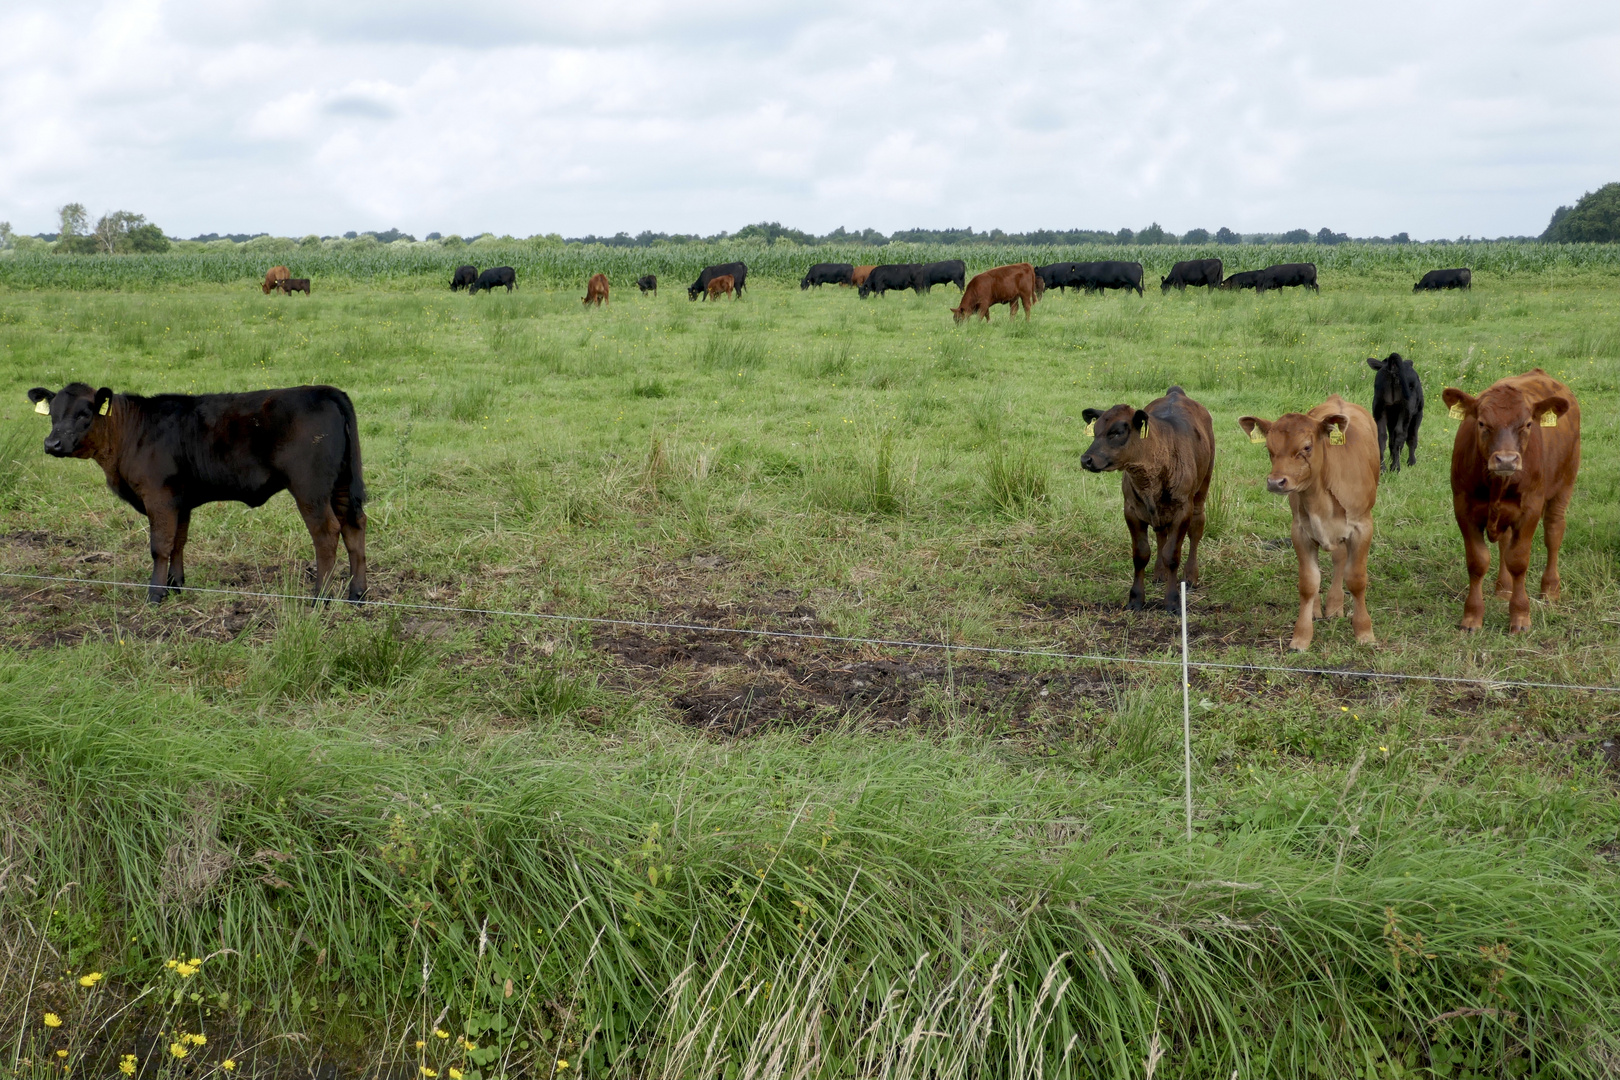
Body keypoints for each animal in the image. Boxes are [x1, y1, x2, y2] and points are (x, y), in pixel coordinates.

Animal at [27, 380, 367, 605]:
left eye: (84, 413)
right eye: (53, 413)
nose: (52, 444)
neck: (131, 432)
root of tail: (325, 390)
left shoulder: (159, 496)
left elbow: (160, 546)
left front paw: (155, 593)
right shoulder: (181, 501)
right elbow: (178, 542)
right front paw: (176, 585)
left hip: (310, 488)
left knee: (327, 533)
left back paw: (320, 597)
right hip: (340, 485)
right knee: (354, 527)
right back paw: (357, 594)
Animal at [1082, 388, 1211, 612]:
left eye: (1117, 432)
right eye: (1095, 431)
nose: (1086, 459)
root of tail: (1176, 392)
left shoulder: (1182, 510)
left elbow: (1172, 555)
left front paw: (1172, 600)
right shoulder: (1131, 510)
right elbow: (1141, 554)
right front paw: (1135, 599)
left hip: (1201, 491)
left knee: (1196, 530)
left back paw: (1190, 576)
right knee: (1161, 534)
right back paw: (1159, 573)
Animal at [1237, 395, 1380, 650]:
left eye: (1306, 447)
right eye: (1268, 448)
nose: (1275, 482)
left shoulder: (1362, 527)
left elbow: (1356, 579)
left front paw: (1364, 631)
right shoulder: (1300, 531)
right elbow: (1308, 583)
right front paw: (1301, 636)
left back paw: (1334, 605)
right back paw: (1322, 608)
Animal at [1445, 369, 1581, 634]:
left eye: (1527, 424)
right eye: (1481, 423)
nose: (1506, 460)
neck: (1497, 486)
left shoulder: (1530, 510)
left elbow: (1518, 561)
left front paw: (1520, 616)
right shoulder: (1463, 509)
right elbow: (1478, 561)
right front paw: (1472, 617)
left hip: (1564, 485)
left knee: (1554, 532)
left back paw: (1550, 589)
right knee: (1505, 542)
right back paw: (1503, 588)